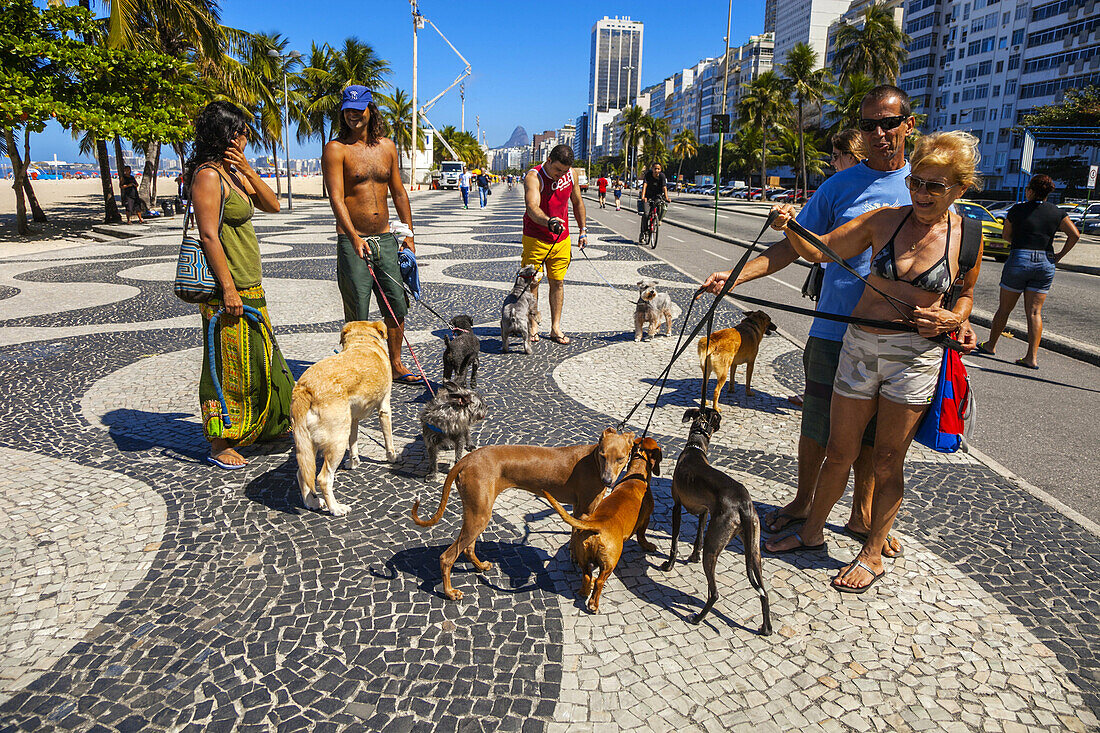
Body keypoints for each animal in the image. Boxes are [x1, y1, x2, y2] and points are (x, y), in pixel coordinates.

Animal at [290, 319, 398, 512]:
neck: (363, 340)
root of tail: (304, 388)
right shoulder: (384, 408)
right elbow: (388, 440)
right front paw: (392, 457)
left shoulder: (353, 419)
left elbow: (353, 443)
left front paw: (353, 462)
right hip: (337, 441)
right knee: (323, 478)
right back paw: (335, 508)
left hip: (310, 443)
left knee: (302, 473)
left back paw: (312, 503)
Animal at [411, 429, 638, 598]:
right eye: (602, 455)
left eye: (620, 458)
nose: (607, 481)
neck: (592, 462)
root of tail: (465, 460)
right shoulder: (586, 510)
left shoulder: (577, 509)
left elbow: (574, 537)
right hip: (479, 515)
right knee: (446, 557)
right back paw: (450, 592)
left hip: (476, 513)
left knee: (467, 548)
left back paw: (480, 566)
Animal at [539, 435, 655, 611]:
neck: (634, 477)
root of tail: (597, 525)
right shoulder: (646, 519)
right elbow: (642, 536)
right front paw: (648, 546)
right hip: (609, 563)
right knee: (599, 580)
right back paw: (593, 604)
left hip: (584, 558)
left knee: (587, 576)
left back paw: (584, 592)